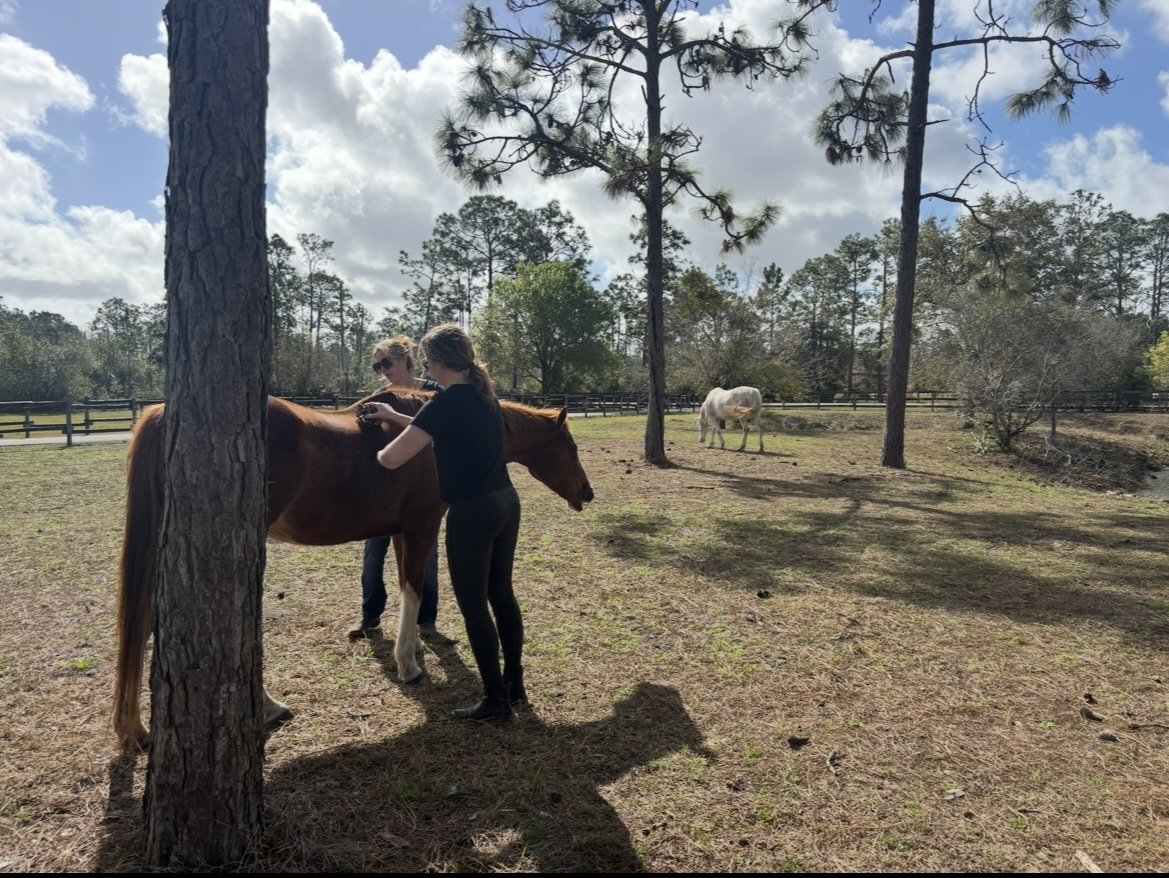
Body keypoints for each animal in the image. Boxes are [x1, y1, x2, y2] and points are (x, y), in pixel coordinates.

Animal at [113, 388, 594, 750]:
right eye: (570, 447)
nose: (587, 493)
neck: (431, 438)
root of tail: (164, 414)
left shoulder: (401, 532)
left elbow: (405, 586)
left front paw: (412, 650)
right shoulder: (421, 525)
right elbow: (413, 589)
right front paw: (409, 665)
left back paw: (134, 726)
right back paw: (267, 706)